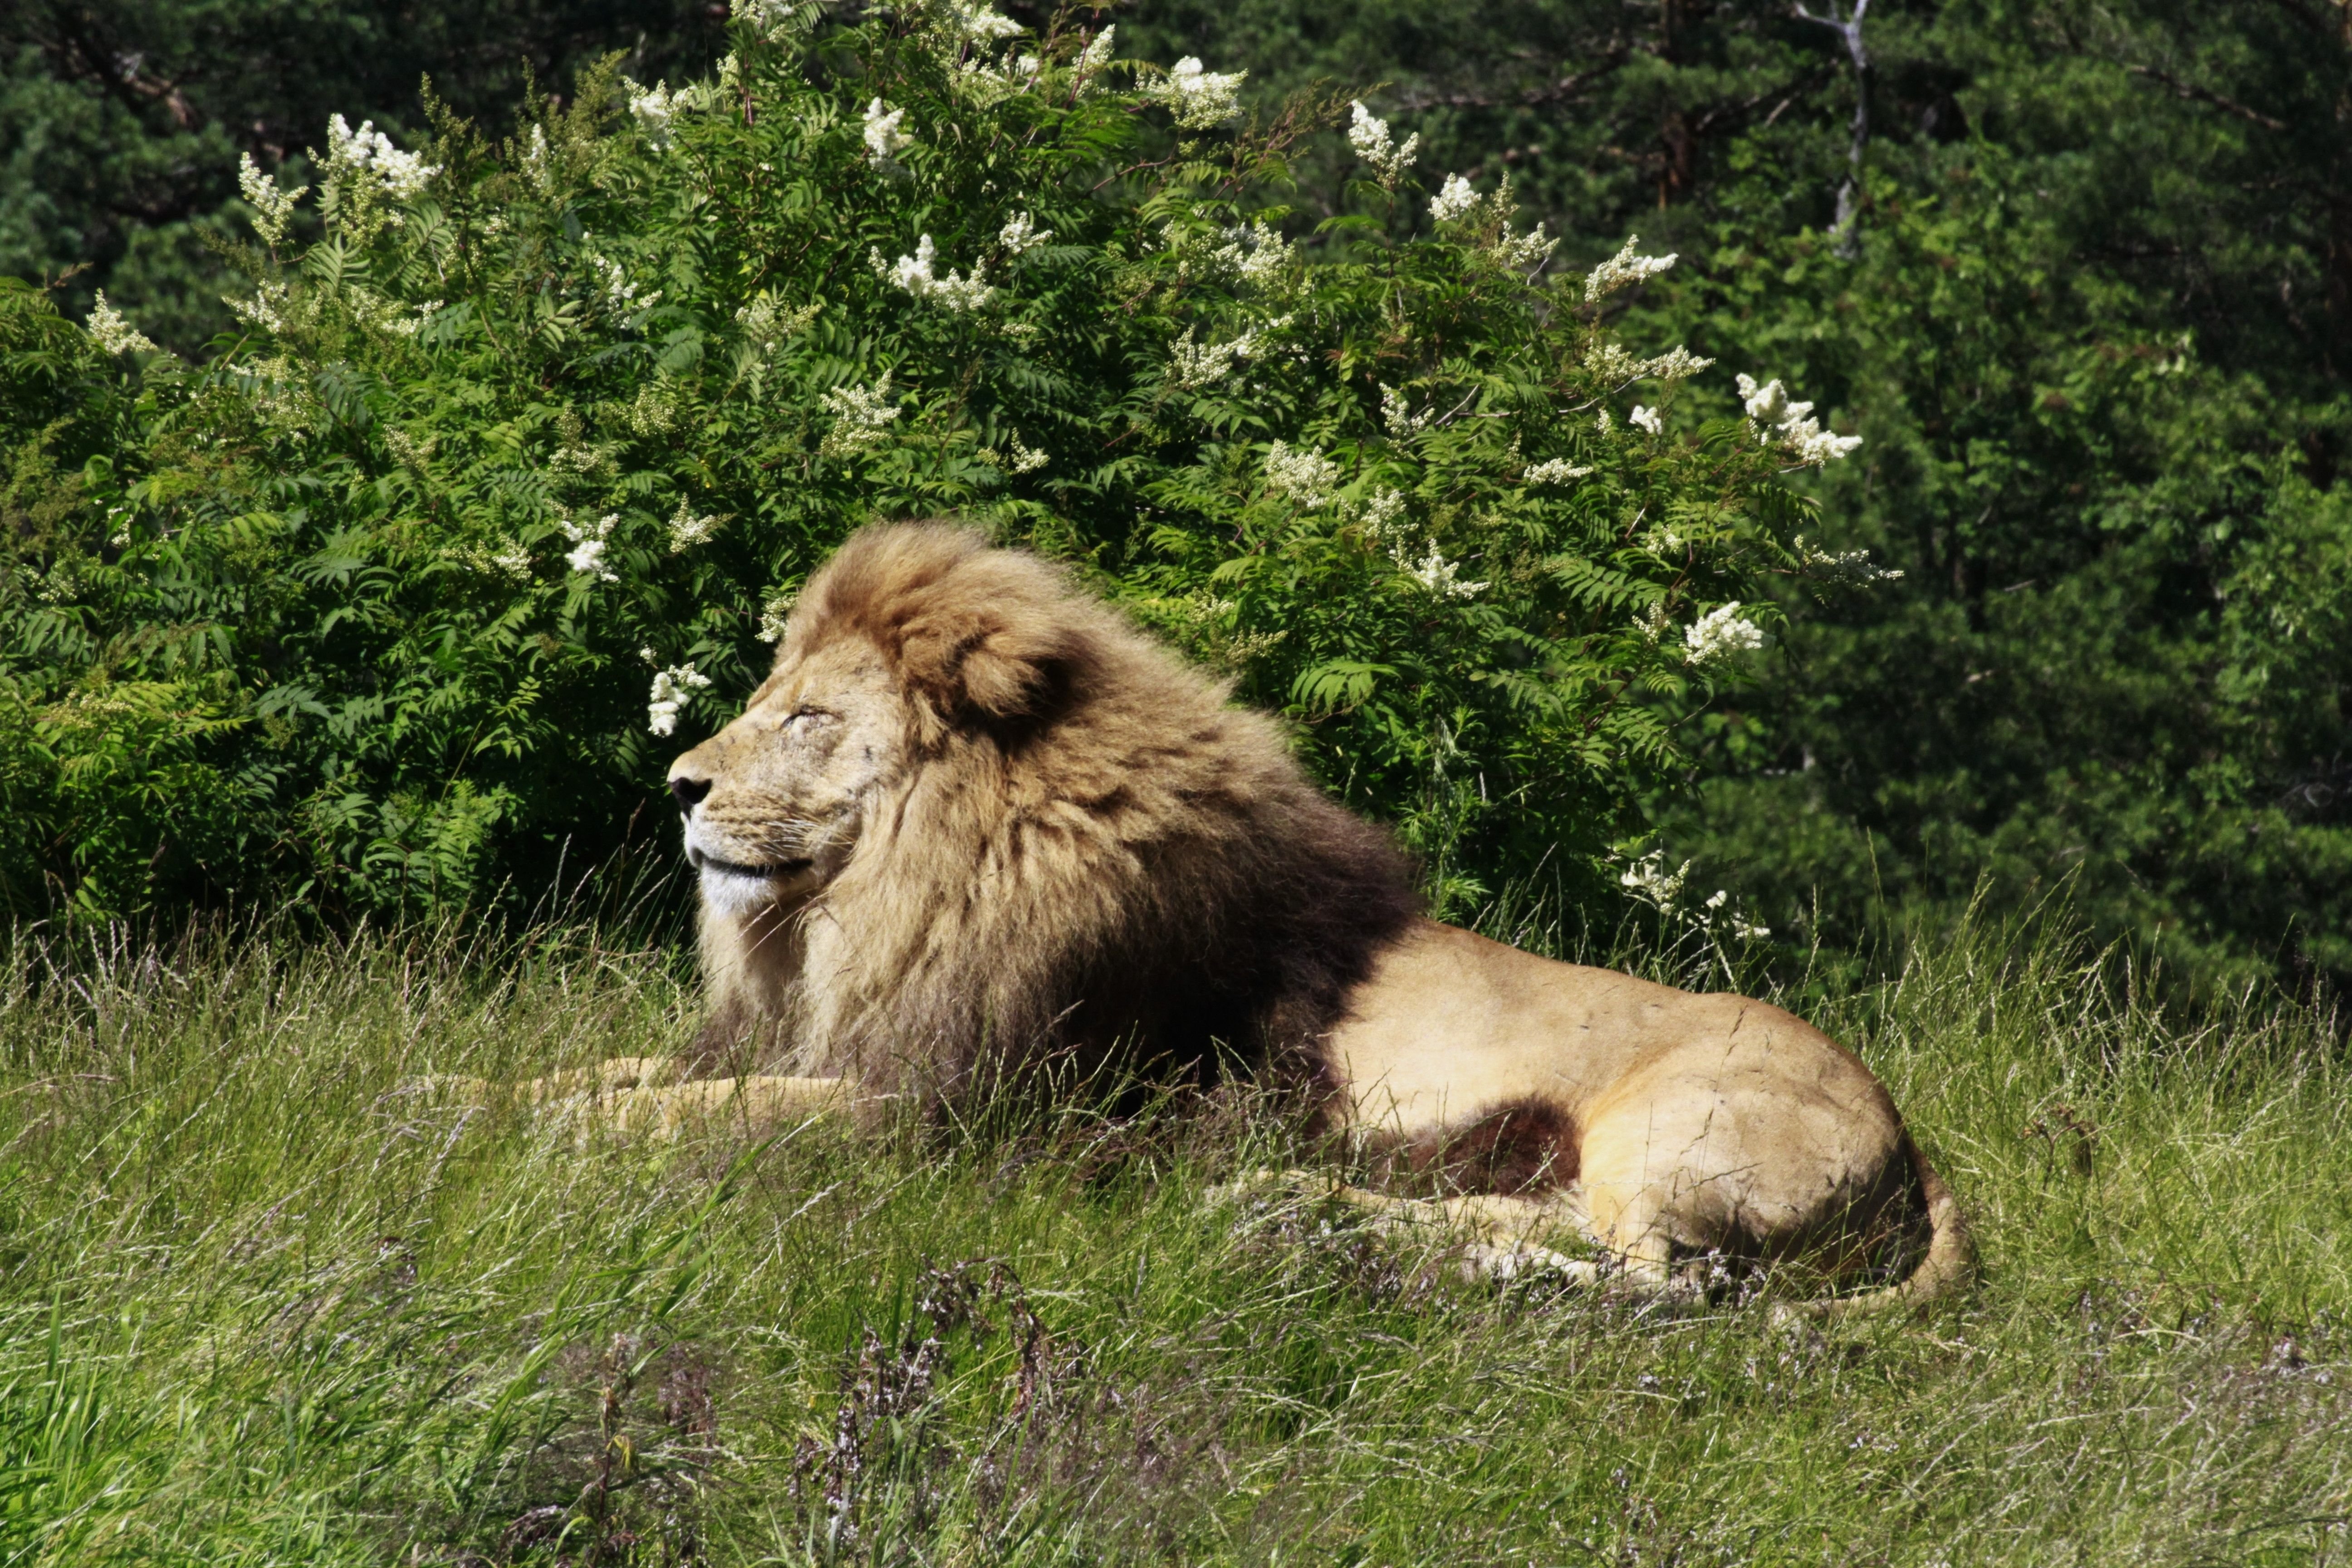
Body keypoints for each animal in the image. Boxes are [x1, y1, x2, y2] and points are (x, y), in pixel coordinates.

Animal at [541, 524, 1975, 1316]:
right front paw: (497, 1094)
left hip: (1666, 1134)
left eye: (807, 717)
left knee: (1664, 1283)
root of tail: (1912, 1142)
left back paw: (1357, 1246)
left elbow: (686, 1116)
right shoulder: (820, 1044)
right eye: (767, 699)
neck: (872, 915)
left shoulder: (958, 1107)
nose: (677, 786)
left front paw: (546, 1136)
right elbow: (605, 1075)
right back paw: (1298, 1207)